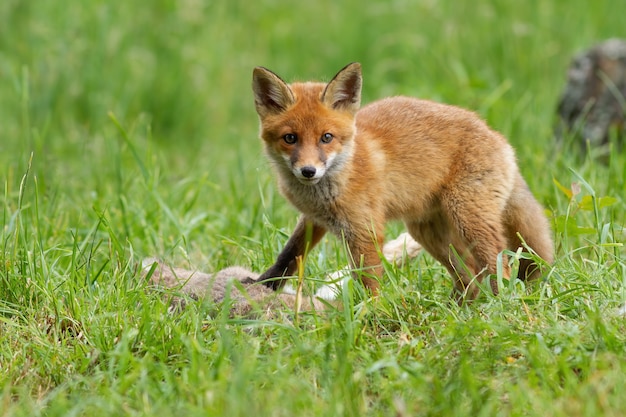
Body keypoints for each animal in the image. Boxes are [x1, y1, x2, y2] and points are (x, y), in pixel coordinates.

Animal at [249, 61, 552, 300]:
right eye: (290, 138)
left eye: (326, 137)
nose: (308, 171)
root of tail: (499, 137)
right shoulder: (314, 220)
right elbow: (289, 254)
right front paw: (263, 285)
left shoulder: (365, 229)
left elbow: (368, 279)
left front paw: (370, 313)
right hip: (429, 233)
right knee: (471, 277)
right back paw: (456, 310)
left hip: (468, 219)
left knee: (498, 267)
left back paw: (500, 305)